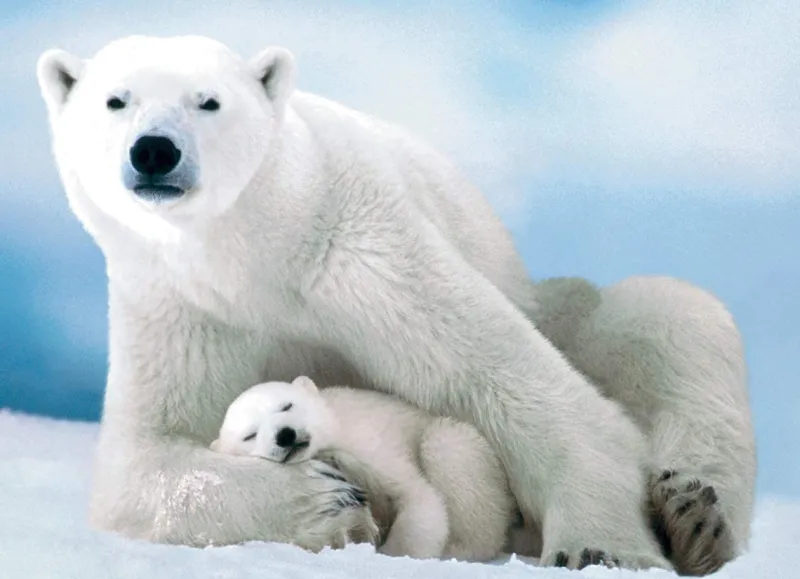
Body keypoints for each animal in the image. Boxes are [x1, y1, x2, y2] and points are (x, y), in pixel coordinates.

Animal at [210, 375, 521, 562]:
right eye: (250, 435)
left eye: (287, 405)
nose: (285, 435)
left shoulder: (370, 445)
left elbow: (418, 497)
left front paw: (395, 554)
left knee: (446, 443)